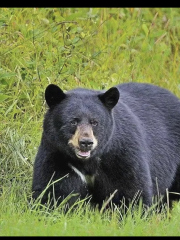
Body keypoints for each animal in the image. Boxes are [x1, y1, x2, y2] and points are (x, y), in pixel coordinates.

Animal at [32, 82, 180, 210]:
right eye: (73, 121)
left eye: (95, 122)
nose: (86, 142)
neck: (88, 161)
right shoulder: (57, 154)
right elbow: (53, 188)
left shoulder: (121, 154)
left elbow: (131, 190)